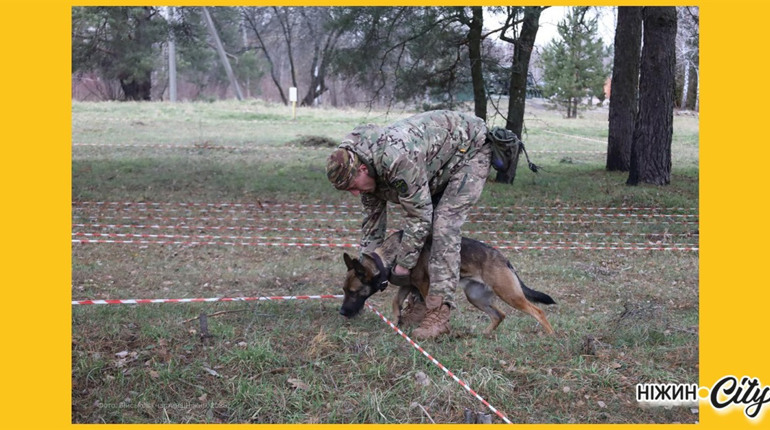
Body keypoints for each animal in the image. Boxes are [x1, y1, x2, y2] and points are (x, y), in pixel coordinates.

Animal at [340, 232, 556, 336]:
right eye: (344, 290)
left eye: (353, 292)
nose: (342, 312)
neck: (387, 258)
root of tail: (504, 259)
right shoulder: (408, 285)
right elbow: (396, 301)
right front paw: (395, 321)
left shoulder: (424, 285)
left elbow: (430, 305)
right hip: (476, 297)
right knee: (499, 315)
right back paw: (484, 334)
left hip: (509, 294)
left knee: (538, 311)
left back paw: (550, 334)